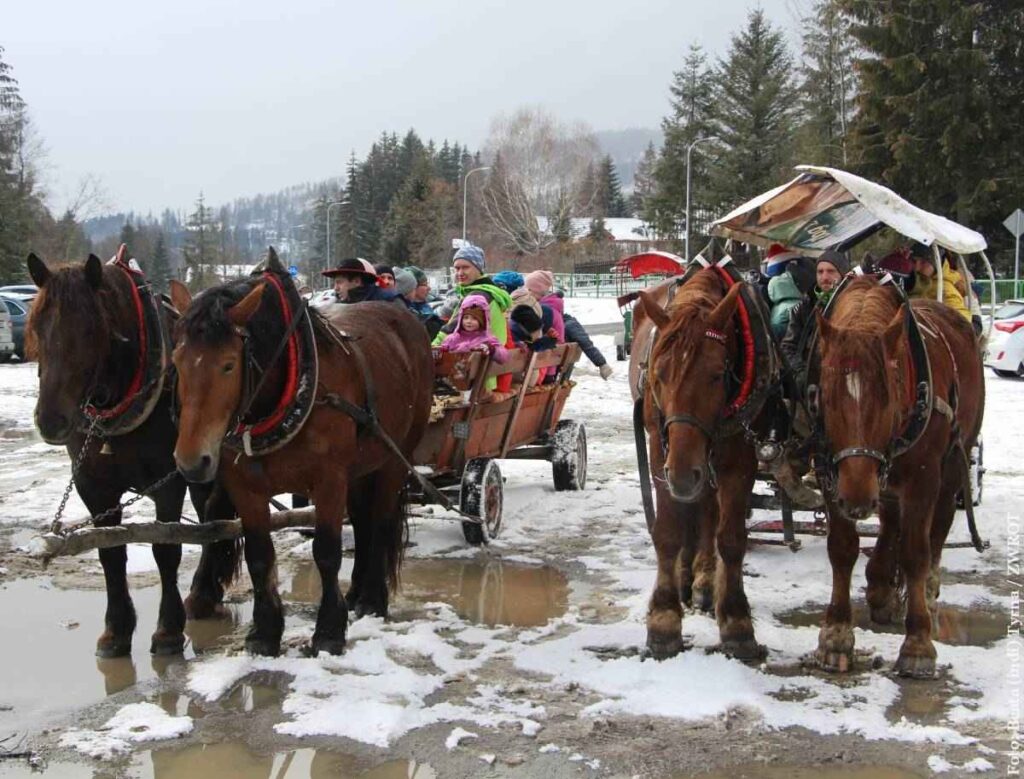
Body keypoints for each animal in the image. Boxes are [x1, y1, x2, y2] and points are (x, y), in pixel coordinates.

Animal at [25, 251, 239, 655]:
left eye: (90, 329)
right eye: (38, 327)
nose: (51, 420)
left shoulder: (168, 480)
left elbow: (166, 548)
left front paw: (168, 630)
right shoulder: (93, 485)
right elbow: (110, 552)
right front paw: (116, 630)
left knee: (210, 518)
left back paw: (202, 594)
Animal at [171, 257, 432, 655]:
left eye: (229, 364)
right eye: (176, 361)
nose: (190, 461)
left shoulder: (328, 480)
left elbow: (326, 552)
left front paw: (329, 631)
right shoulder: (245, 486)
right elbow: (259, 557)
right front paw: (264, 632)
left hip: (392, 459)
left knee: (381, 521)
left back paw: (373, 598)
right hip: (360, 466)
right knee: (362, 521)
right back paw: (356, 593)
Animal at [630, 270, 770, 659]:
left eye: (716, 374)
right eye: (660, 374)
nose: (682, 475)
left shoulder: (739, 459)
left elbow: (731, 538)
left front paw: (736, 621)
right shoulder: (660, 451)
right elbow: (667, 532)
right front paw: (663, 620)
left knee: (707, 513)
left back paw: (705, 581)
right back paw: (686, 577)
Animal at [806, 278, 983, 675]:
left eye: (887, 397)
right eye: (827, 397)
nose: (858, 499)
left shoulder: (922, 479)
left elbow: (915, 552)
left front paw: (917, 644)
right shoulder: (832, 474)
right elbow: (842, 548)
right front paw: (836, 635)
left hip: (951, 466)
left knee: (936, 532)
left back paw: (928, 597)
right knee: (889, 522)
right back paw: (880, 588)